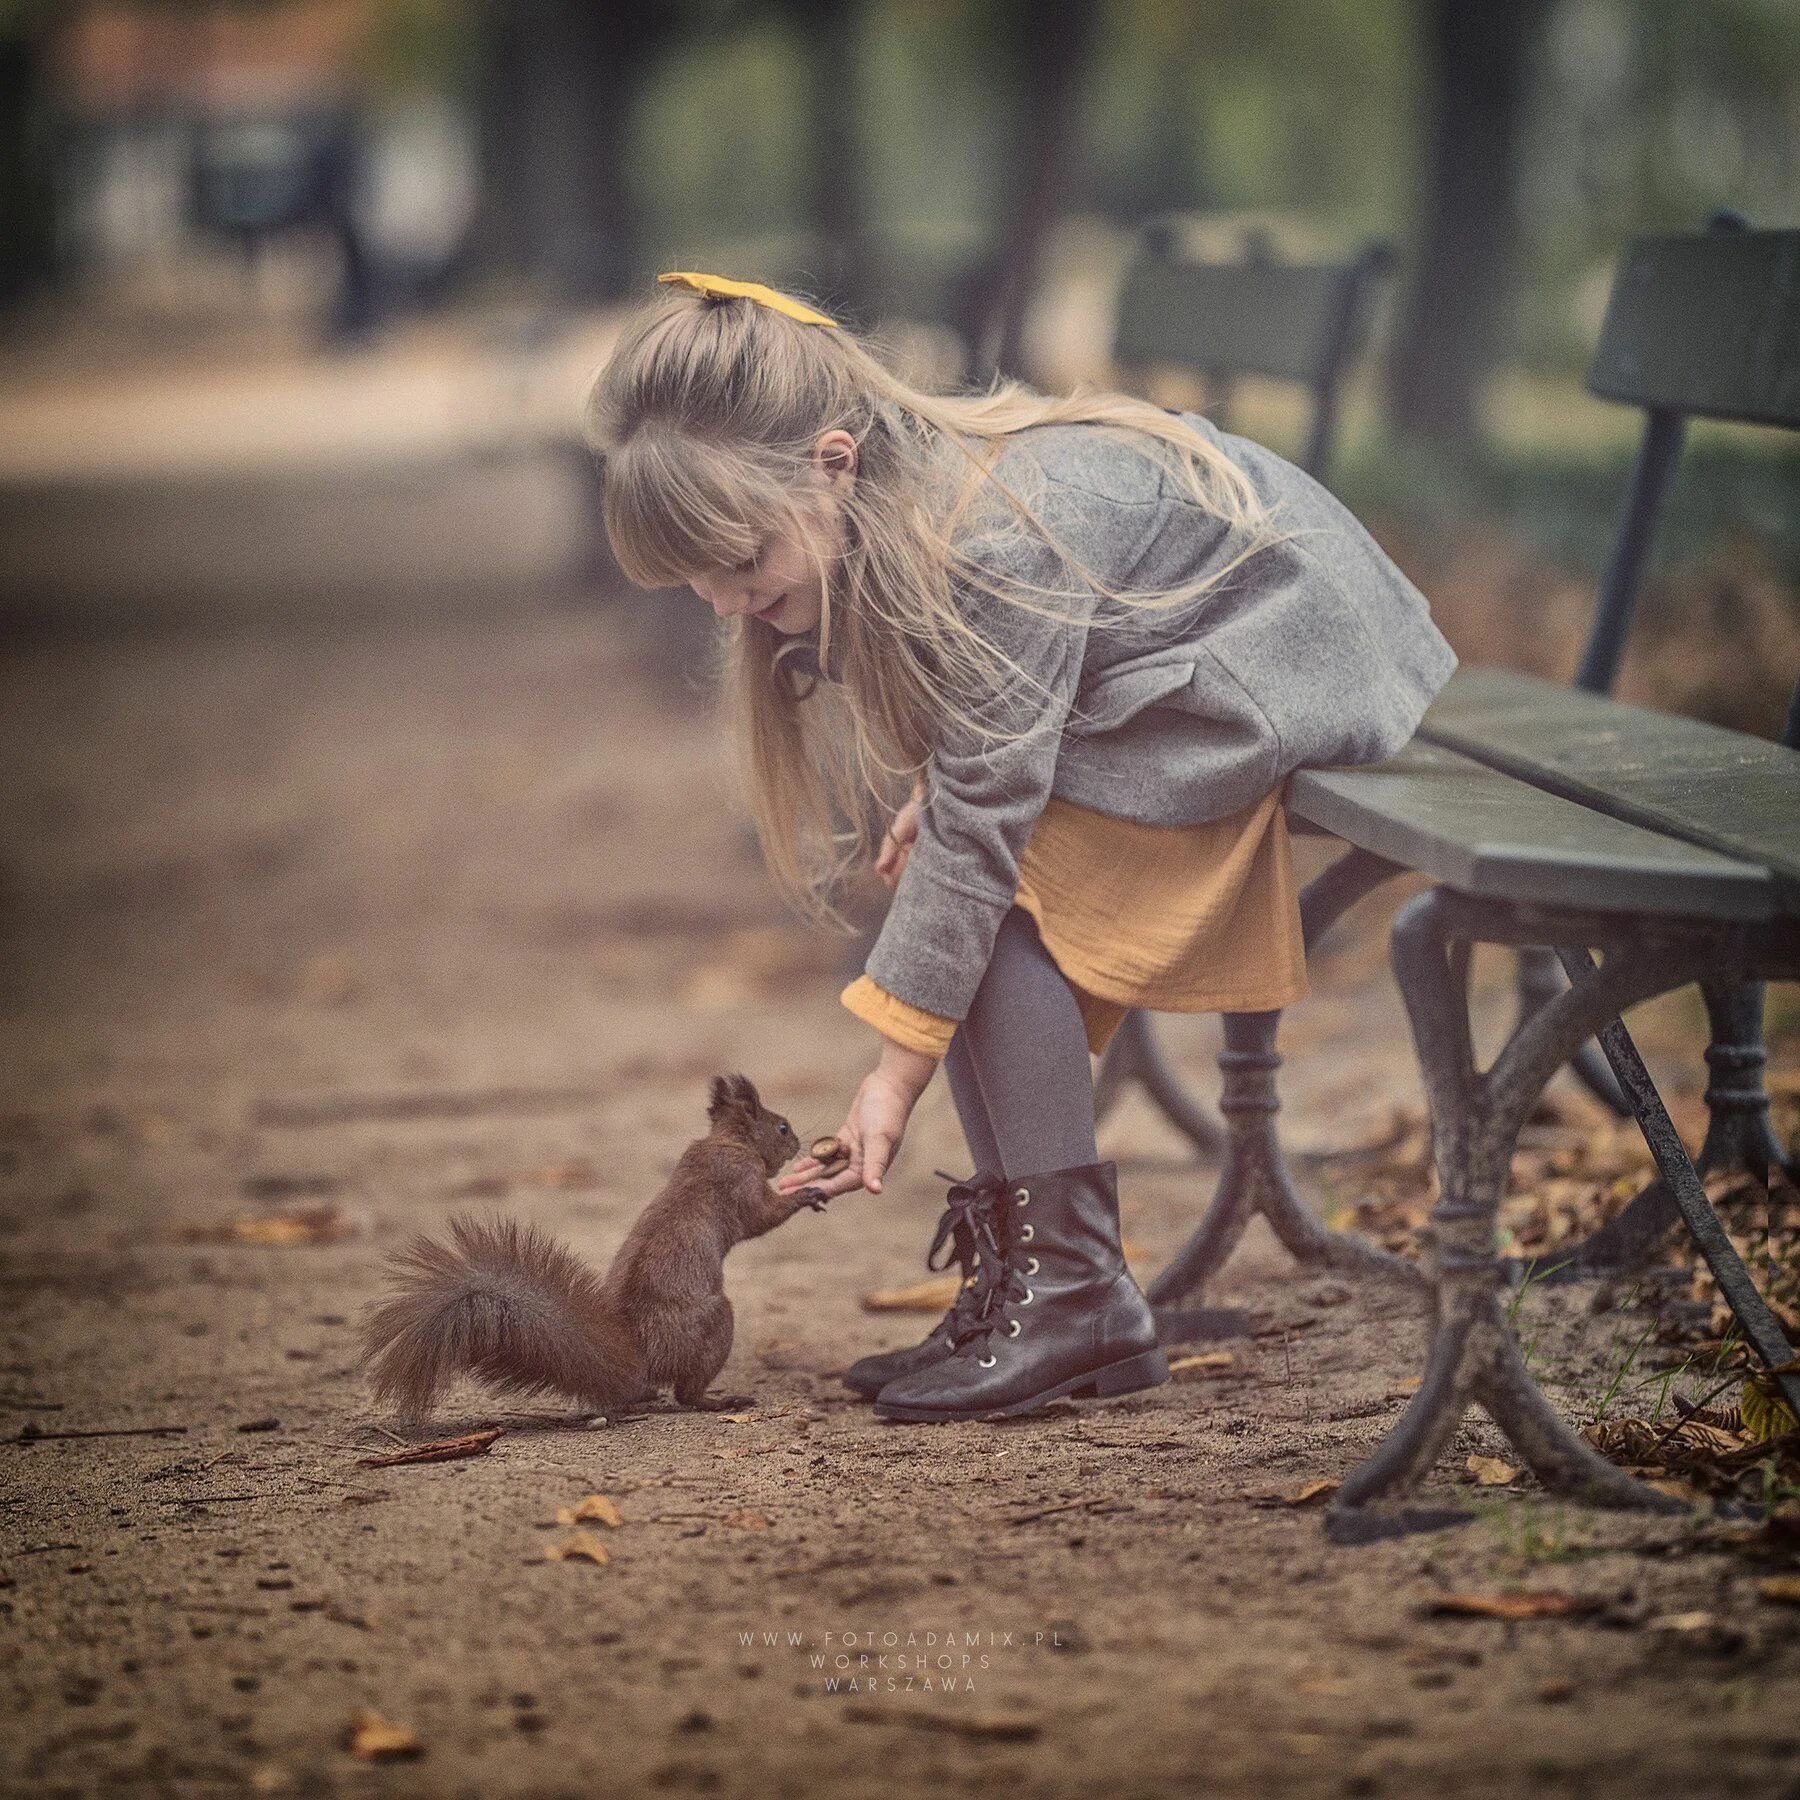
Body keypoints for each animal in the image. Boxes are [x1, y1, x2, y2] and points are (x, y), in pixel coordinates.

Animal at [360, 1072, 835, 1411]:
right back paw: (719, 1400)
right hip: (714, 1324)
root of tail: (640, 1361)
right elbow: (761, 1217)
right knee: (687, 1394)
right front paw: (806, 1194)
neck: (729, 1141)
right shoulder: (738, 1184)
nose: (799, 1142)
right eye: (782, 1126)